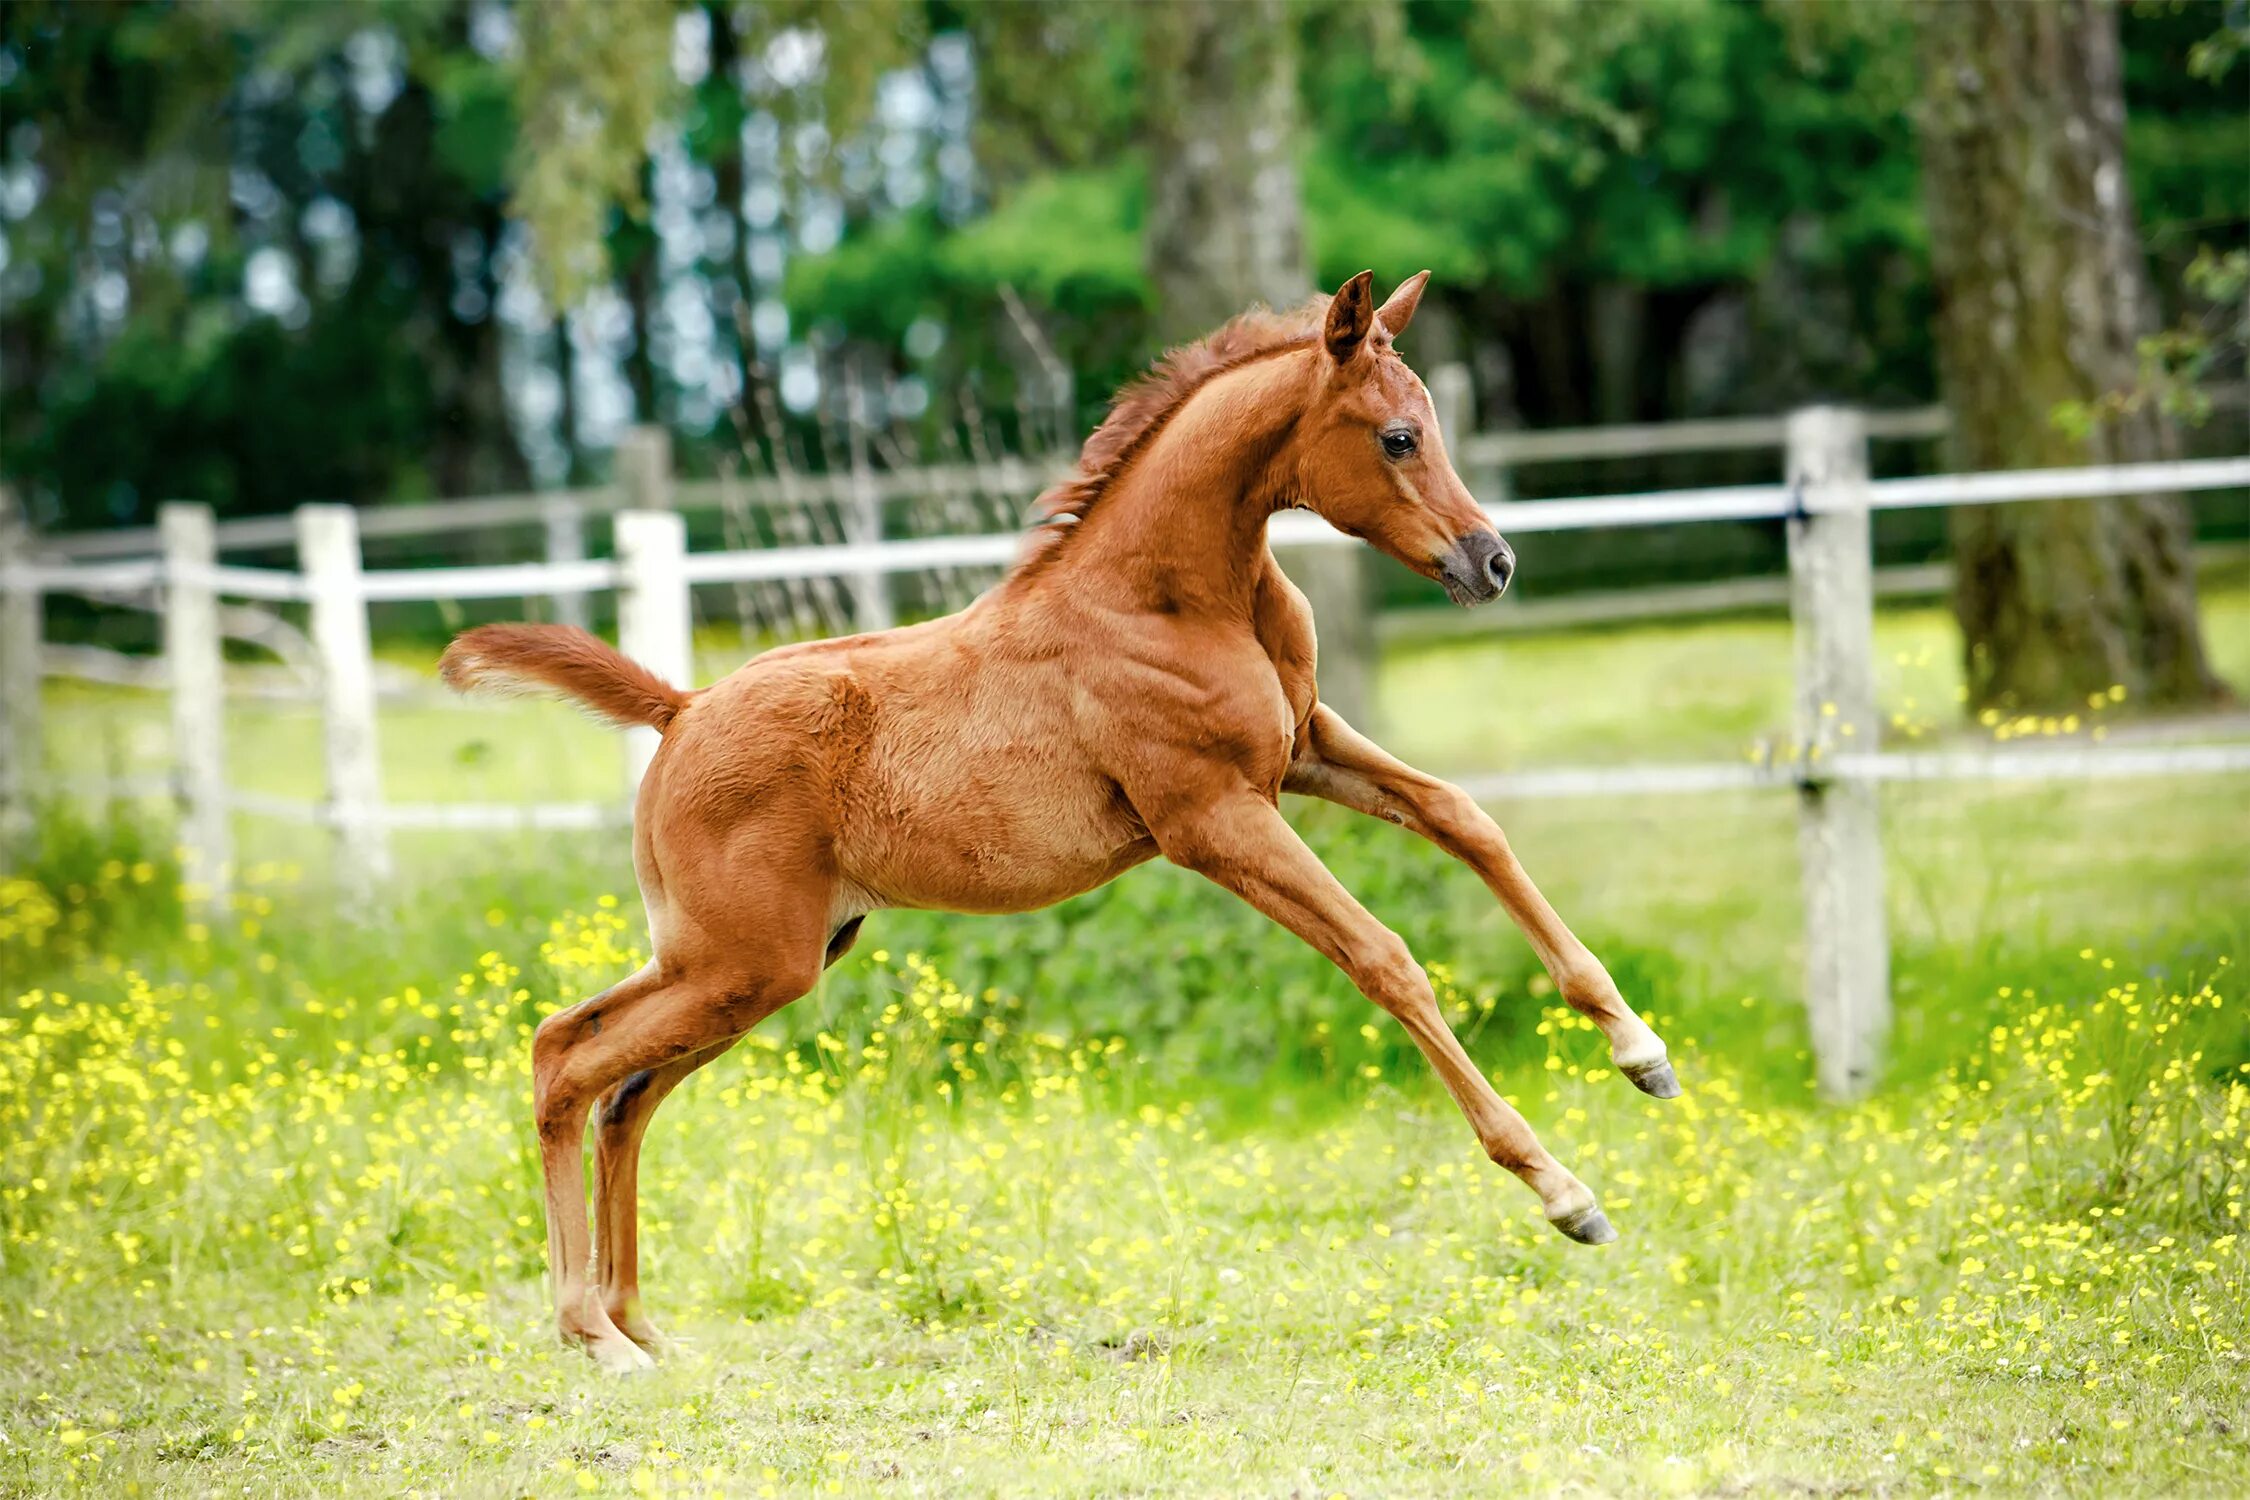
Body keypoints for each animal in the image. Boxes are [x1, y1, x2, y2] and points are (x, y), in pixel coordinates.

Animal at [443, 269, 1674, 1376]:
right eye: (1400, 437)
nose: (1493, 562)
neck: (1167, 598)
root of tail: (681, 706)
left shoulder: (1305, 750)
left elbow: (1466, 820)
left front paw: (1640, 1051)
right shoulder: (1213, 818)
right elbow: (1387, 958)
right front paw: (1566, 1195)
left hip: (754, 961)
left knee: (616, 1088)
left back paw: (641, 1325)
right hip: (743, 961)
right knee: (566, 1061)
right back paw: (592, 1334)